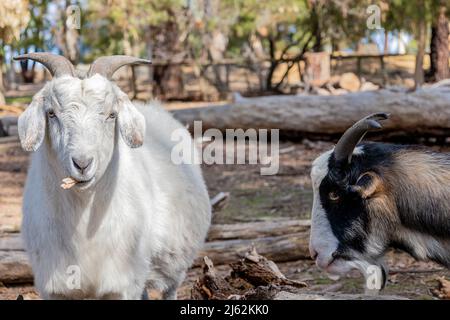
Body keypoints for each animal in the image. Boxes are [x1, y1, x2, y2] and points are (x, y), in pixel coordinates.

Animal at [14, 53, 211, 300]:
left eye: (111, 115)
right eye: (51, 113)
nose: (82, 164)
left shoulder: (122, 283)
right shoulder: (54, 287)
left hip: (173, 266)